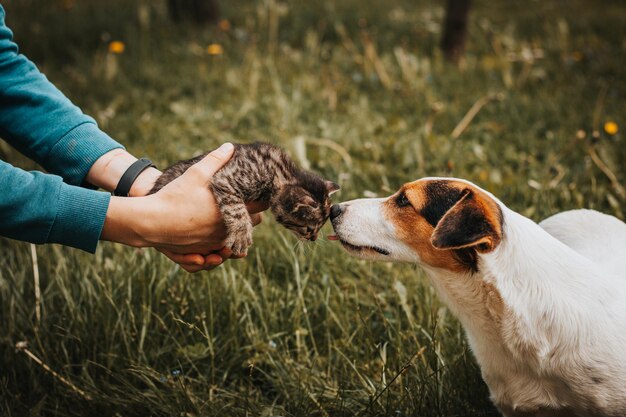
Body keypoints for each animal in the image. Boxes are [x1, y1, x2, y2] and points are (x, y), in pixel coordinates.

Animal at [149, 142, 338, 254]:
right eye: (308, 228)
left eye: (320, 228)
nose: (313, 239)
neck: (281, 172)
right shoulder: (226, 177)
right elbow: (236, 209)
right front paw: (241, 233)